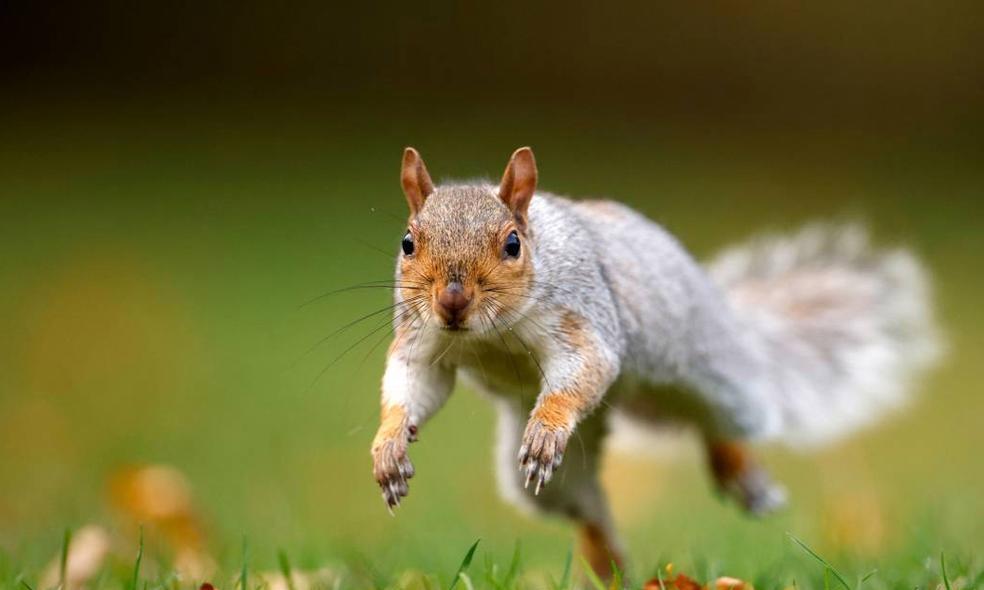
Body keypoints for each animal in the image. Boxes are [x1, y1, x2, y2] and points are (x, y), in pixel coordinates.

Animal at [372, 147, 940, 580]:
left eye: (512, 244)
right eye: (407, 242)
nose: (452, 301)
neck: (490, 334)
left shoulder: (584, 321)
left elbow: (584, 370)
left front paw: (547, 426)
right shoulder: (423, 340)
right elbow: (415, 385)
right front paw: (390, 445)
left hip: (719, 379)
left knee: (721, 422)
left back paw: (744, 476)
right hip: (567, 470)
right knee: (584, 508)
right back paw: (610, 566)